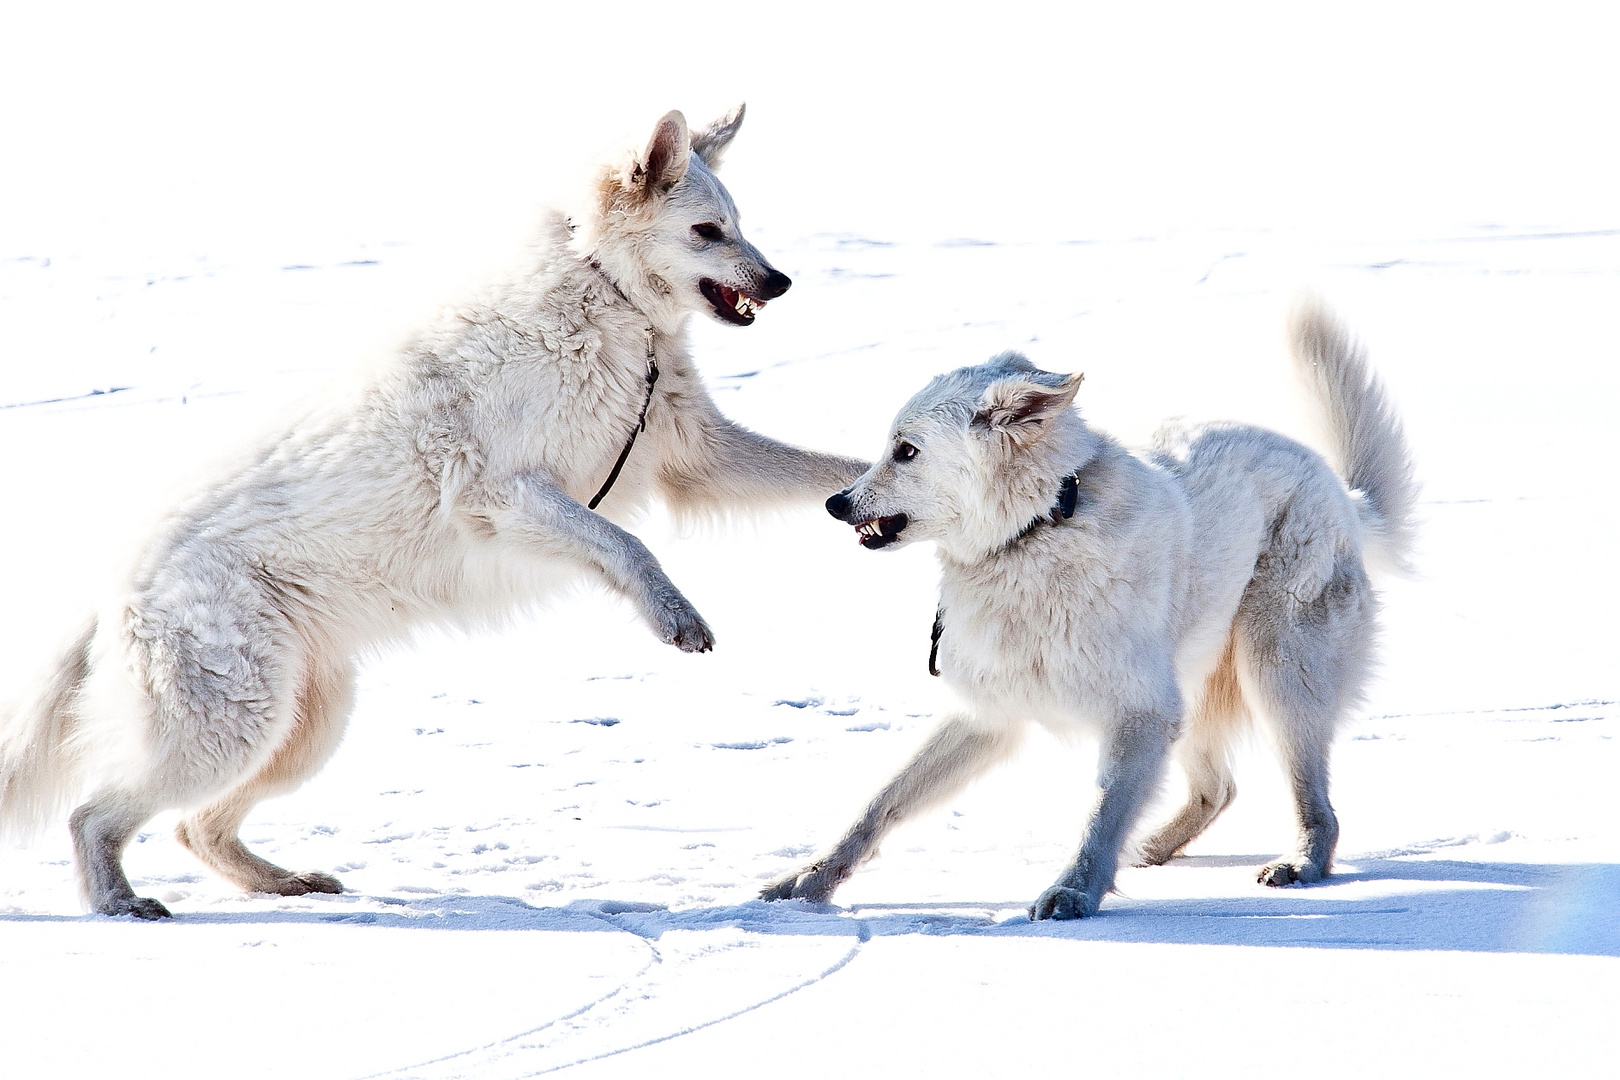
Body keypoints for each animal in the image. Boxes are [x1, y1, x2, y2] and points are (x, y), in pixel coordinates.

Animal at [0, 103, 868, 919]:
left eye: (740, 224)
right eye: (706, 231)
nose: (781, 283)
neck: (605, 294)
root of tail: (113, 579)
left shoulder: (697, 456)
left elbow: (820, 469)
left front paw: (877, 486)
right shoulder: (506, 495)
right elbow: (626, 545)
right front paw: (675, 615)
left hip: (301, 726)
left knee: (195, 828)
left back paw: (284, 883)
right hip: (227, 726)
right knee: (93, 816)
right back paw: (121, 903)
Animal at [764, 307, 1412, 926]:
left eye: (906, 451)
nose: (836, 503)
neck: (1036, 530)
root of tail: (1341, 491)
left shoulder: (1138, 713)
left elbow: (1100, 814)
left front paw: (1072, 893)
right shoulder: (987, 715)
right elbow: (878, 803)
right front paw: (809, 881)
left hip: (1277, 673)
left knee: (1316, 806)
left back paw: (1301, 863)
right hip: (1195, 693)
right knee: (1218, 790)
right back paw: (1150, 848)